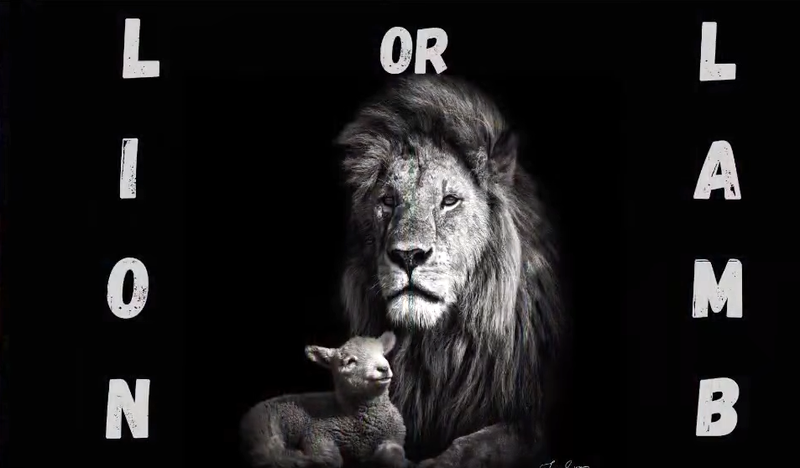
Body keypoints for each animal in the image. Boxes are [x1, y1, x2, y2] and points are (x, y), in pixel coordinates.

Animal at [239, 331, 409, 468]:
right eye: (350, 361)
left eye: (382, 354)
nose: (383, 368)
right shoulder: (317, 434)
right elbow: (332, 460)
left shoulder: (394, 436)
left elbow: (394, 456)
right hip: (265, 429)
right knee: (269, 457)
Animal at [334, 75, 565, 468]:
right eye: (388, 201)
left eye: (449, 201)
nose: (408, 255)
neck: (438, 350)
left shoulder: (528, 423)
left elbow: (473, 447)